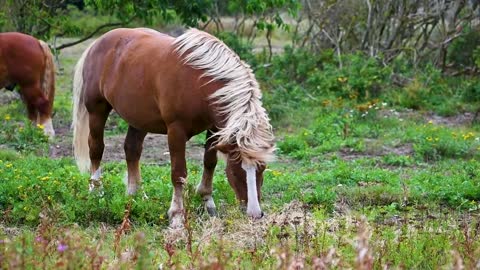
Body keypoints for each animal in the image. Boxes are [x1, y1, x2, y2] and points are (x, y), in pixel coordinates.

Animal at [71, 27, 274, 227]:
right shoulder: (176, 131)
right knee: (96, 148)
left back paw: (136, 195)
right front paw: (176, 215)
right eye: (235, 170)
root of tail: (97, 44)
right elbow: (178, 173)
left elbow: (210, 163)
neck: (199, 81)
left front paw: (208, 203)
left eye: (262, 168)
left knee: (132, 150)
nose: (255, 214)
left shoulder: (215, 129)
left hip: (139, 118)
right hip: (97, 110)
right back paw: (96, 191)